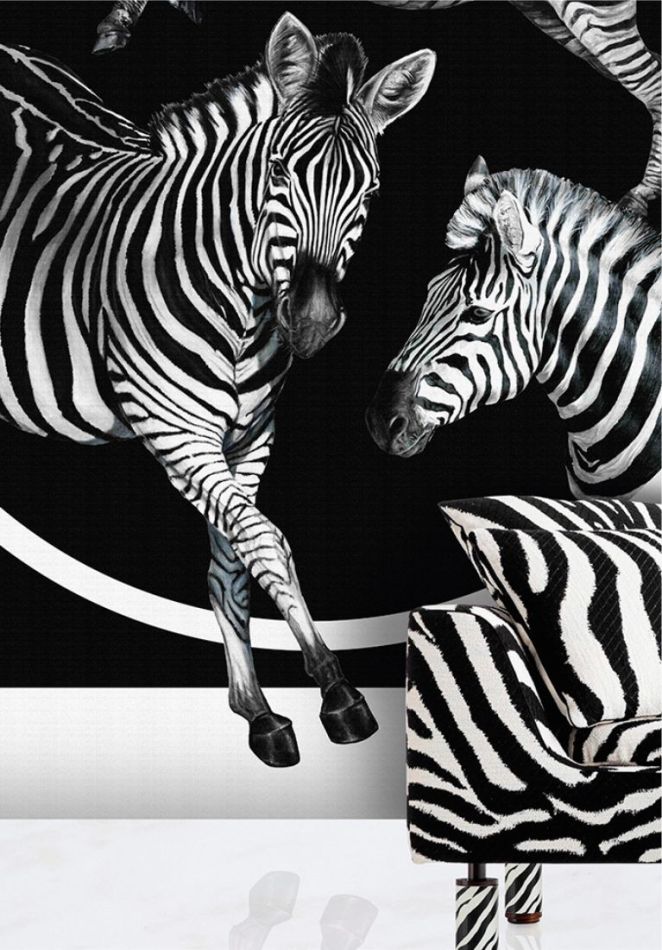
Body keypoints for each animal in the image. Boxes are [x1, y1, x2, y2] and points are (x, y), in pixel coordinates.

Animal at [0, 14, 436, 767]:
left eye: (372, 192)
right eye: (278, 171)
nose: (312, 323)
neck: (242, 308)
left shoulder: (248, 438)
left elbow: (231, 568)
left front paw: (257, 710)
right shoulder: (178, 436)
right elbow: (266, 543)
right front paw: (338, 691)